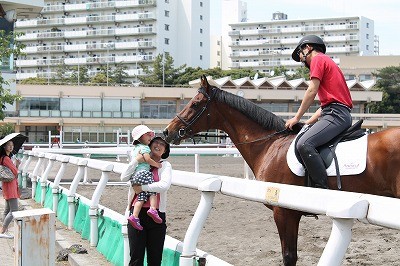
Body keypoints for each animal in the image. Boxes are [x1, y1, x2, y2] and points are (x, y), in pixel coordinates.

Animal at [163, 75, 400, 266]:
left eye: (195, 104)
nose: (168, 131)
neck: (269, 144)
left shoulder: (284, 212)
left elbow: (289, 257)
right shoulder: (291, 213)